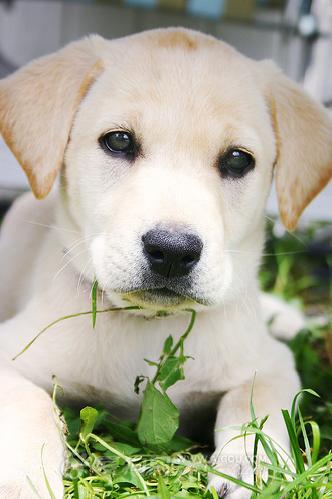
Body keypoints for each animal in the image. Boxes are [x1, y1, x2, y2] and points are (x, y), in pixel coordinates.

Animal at [0, 28, 330, 499]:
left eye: (237, 159)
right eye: (119, 141)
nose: (172, 251)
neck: (150, 325)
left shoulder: (272, 364)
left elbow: (254, 405)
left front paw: (251, 466)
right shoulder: (10, 356)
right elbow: (29, 405)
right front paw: (22, 480)